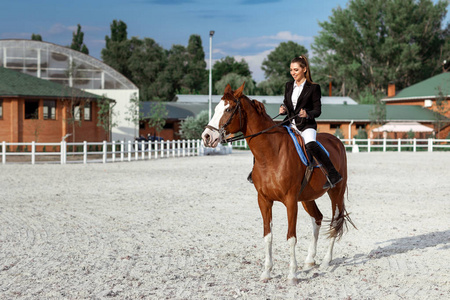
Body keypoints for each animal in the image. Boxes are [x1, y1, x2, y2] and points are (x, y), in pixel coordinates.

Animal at [201, 82, 356, 284]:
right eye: (216, 108)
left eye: (228, 109)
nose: (206, 137)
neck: (271, 154)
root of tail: (337, 141)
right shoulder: (264, 200)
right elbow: (268, 236)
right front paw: (267, 272)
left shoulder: (290, 201)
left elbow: (291, 237)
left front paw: (292, 275)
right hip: (307, 198)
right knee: (317, 218)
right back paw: (310, 260)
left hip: (335, 192)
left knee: (335, 221)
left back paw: (325, 261)